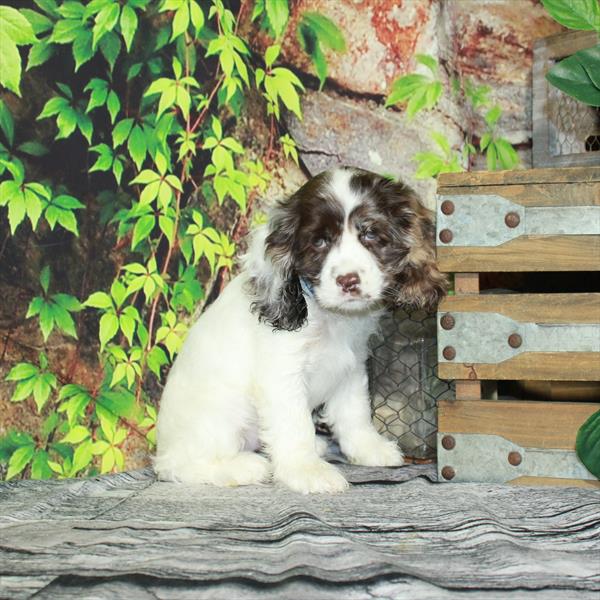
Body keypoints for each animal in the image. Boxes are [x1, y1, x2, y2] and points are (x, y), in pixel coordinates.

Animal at [155, 165, 446, 492]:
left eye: (370, 233)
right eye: (319, 242)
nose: (348, 280)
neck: (329, 317)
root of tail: (163, 445)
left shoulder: (351, 367)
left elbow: (354, 412)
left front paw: (368, 449)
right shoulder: (282, 376)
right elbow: (294, 425)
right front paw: (306, 470)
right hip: (219, 419)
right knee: (177, 466)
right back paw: (244, 467)